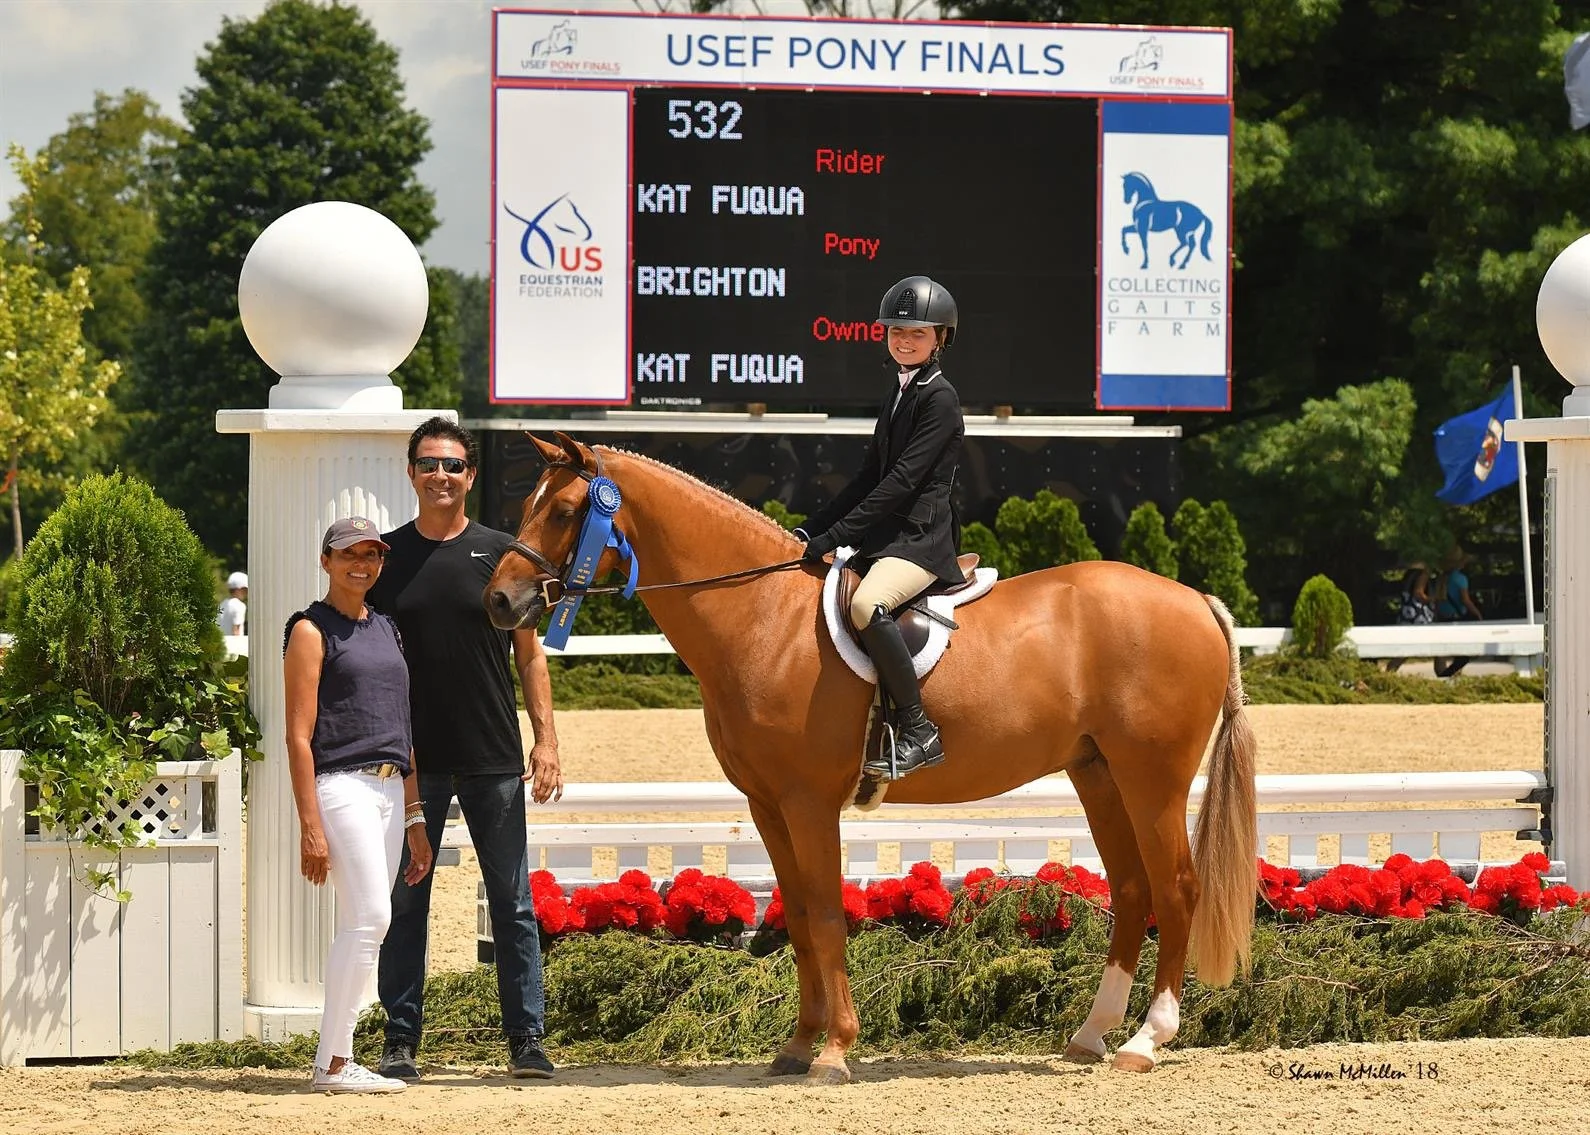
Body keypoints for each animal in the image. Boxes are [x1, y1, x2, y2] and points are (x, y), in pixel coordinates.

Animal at [484, 433, 1258, 1084]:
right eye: (526, 505)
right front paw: (796, 1046)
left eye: (563, 510)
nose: (499, 601)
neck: (762, 617)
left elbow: (828, 914)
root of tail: (1194, 599)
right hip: (1098, 773)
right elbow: (797, 916)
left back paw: (1146, 1039)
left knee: (1176, 889)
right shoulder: (766, 804)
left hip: (1152, 780)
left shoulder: (808, 801)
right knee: (1130, 890)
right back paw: (1092, 1035)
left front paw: (834, 1049)